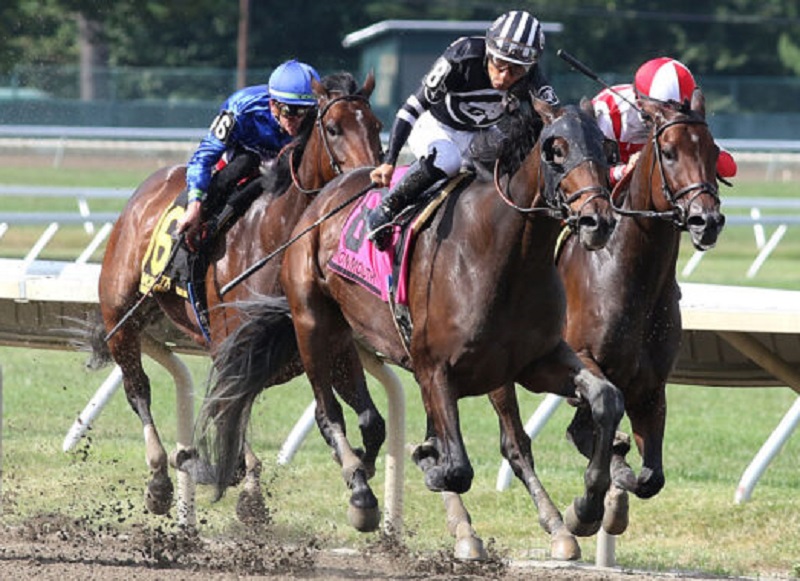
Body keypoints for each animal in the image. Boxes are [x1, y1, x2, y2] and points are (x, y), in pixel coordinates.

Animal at [90, 71, 384, 516]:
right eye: (333, 128)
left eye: (377, 126)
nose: (369, 179)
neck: (276, 239)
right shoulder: (234, 345)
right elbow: (233, 408)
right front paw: (243, 487)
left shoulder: (333, 343)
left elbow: (371, 422)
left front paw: (358, 474)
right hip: (120, 318)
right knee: (138, 390)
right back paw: (159, 478)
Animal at [197, 98, 620, 552]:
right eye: (555, 149)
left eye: (607, 149)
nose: (598, 221)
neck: (504, 252)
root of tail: (322, 198)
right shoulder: (433, 367)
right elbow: (456, 466)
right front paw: (429, 463)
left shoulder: (534, 361)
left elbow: (605, 399)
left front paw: (585, 508)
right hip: (312, 322)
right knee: (328, 413)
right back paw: (361, 494)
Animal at [490, 87, 728, 544]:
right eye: (669, 152)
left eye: (713, 150)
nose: (706, 220)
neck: (627, 274)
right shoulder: (583, 361)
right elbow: (589, 433)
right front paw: (585, 509)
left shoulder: (651, 386)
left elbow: (651, 477)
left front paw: (614, 497)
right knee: (514, 442)